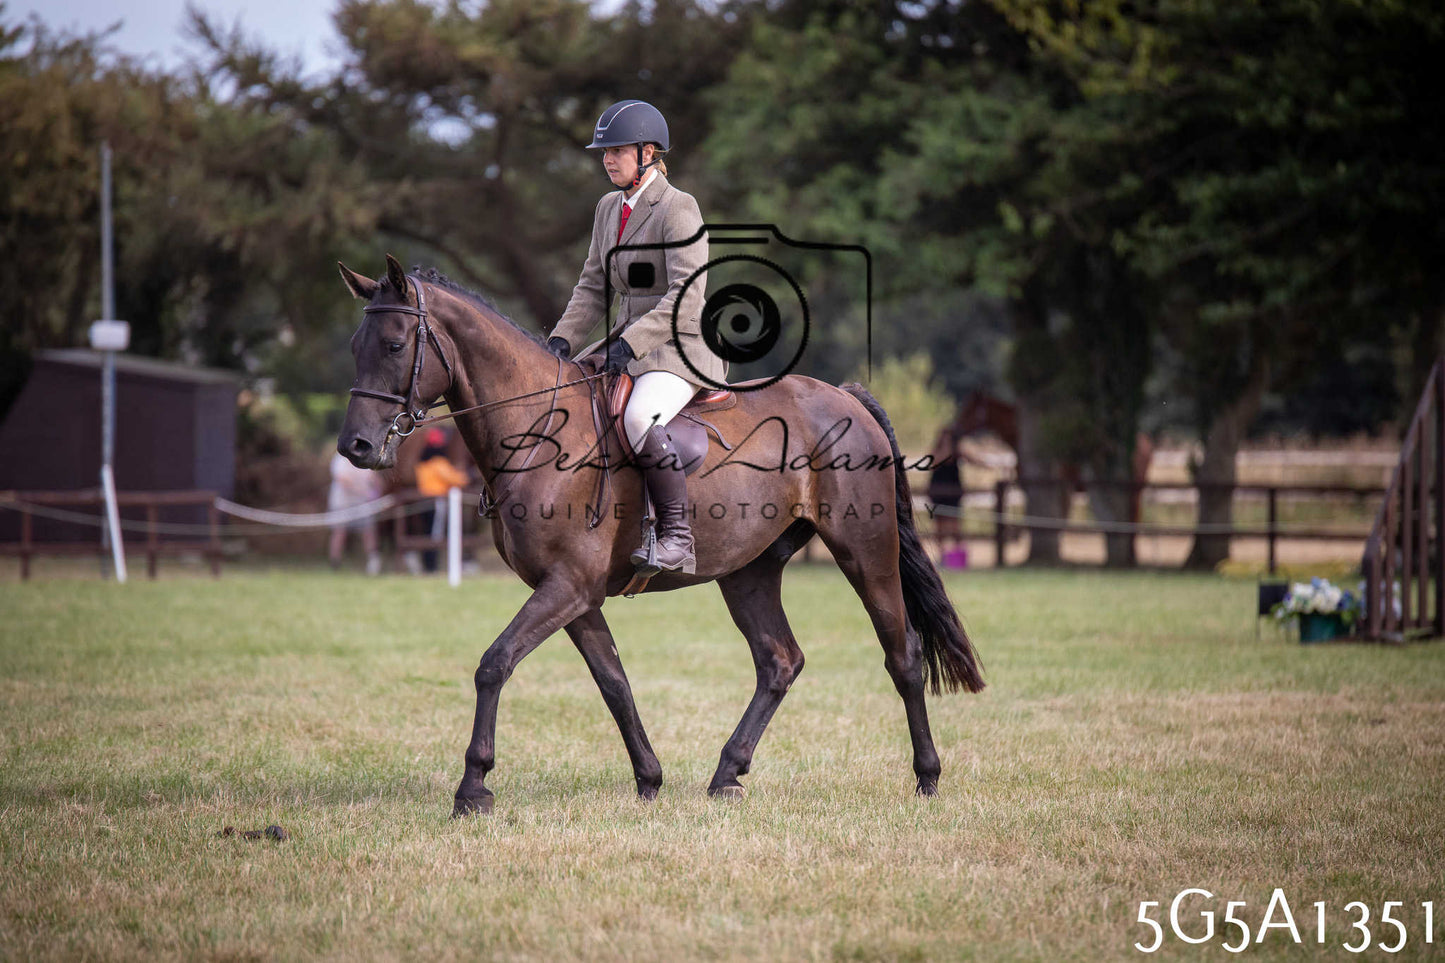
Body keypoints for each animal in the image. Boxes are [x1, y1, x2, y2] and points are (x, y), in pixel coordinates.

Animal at [336, 256, 984, 816]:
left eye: (395, 345)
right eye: (354, 346)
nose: (356, 448)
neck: (540, 432)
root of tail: (844, 395)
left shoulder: (567, 586)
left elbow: (494, 664)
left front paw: (473, 787)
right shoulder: (576, 594)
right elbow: (614, 682)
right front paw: (648, 779)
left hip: (865, 551)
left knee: (902, 655)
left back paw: (927, 777)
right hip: (748, 572)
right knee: (779, 660)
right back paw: (727, 774)